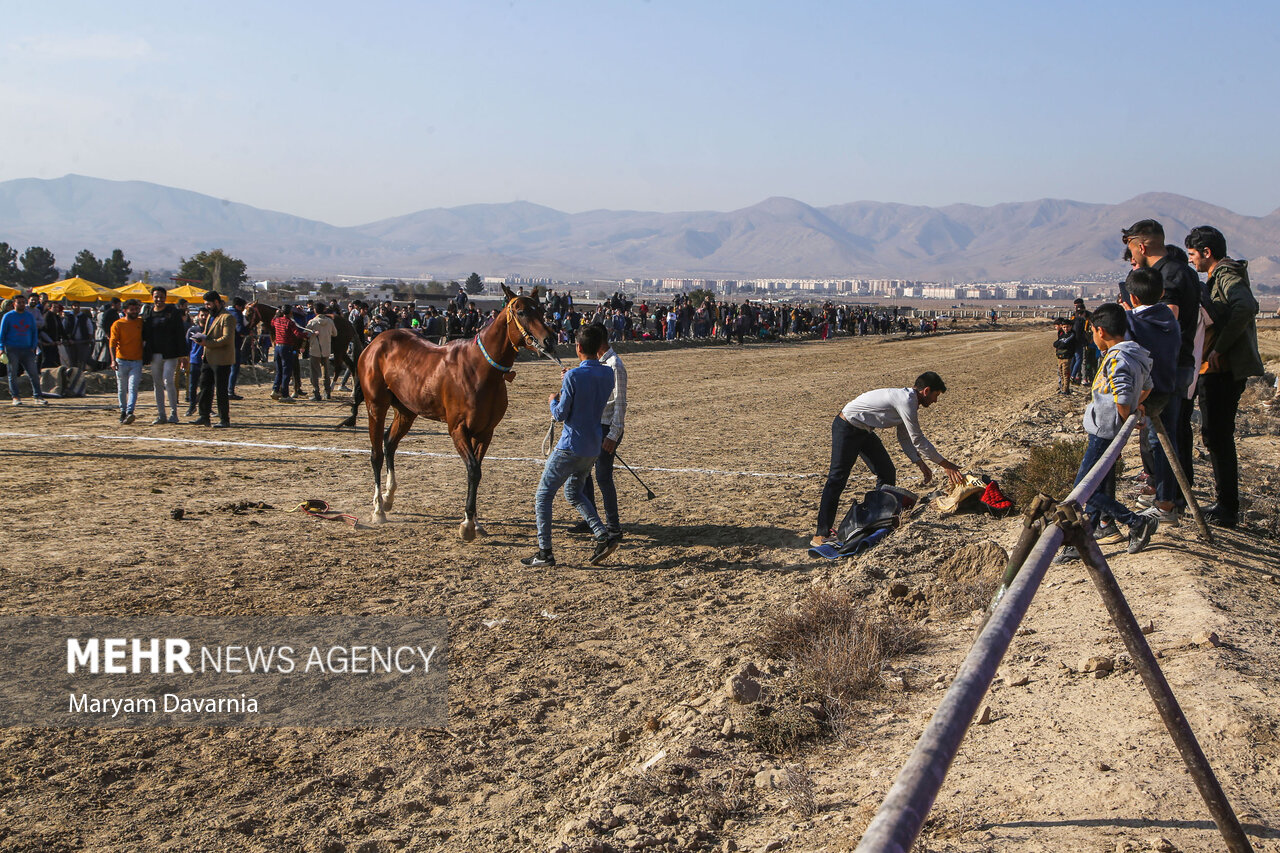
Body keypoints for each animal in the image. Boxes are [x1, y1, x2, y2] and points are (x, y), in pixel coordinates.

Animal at [360, 289, 560, 535]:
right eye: (521, 311)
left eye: (540, 310)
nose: (549, 340)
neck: (480, 369)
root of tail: (375, 343)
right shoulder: (458, 429)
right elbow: (473, 470)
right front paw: (467, 525)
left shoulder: (484, 432)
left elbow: (477, 471)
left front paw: (474, 521)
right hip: (376, 407)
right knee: (376, 454)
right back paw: (378, 508)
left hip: (407, 411)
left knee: (389, 443)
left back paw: (388, 497)